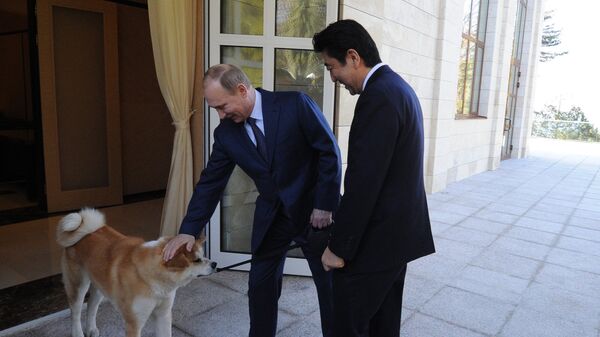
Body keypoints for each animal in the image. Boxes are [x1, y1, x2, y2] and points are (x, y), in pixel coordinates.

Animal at [56, 207, 216, 336]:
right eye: (197, 260)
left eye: (203, 256)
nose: (215, 264)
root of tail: (87, 230)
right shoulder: (134, 322)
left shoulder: (163, 315)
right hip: (78, 285)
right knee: (75, 313)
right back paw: (78, 333)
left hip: (100, 285)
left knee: (91, 306)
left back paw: (91, 329)